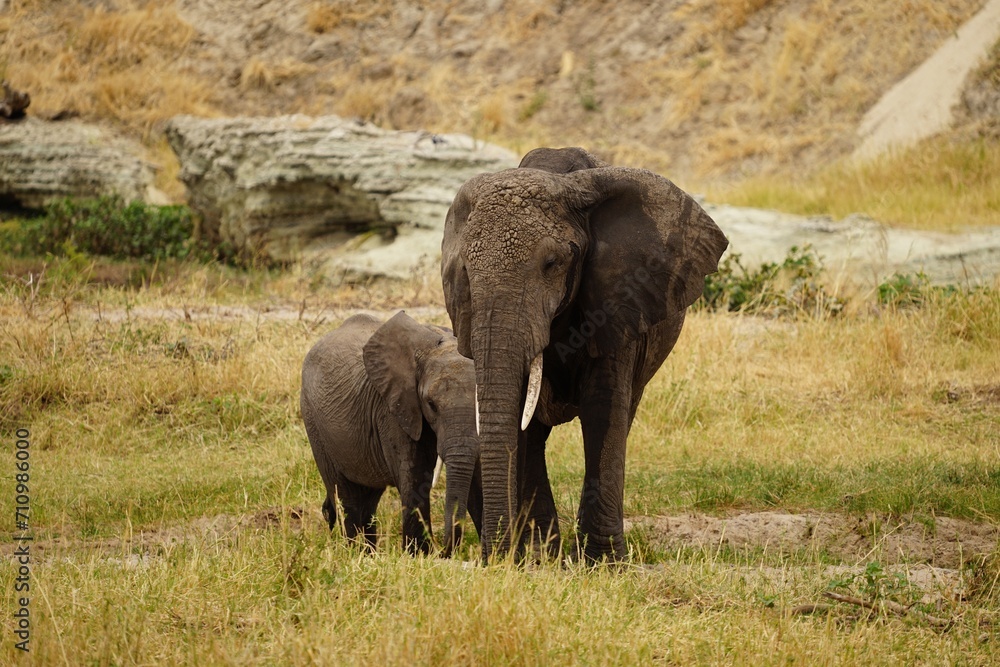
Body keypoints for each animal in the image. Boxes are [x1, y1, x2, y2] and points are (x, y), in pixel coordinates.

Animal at [300, 311, 482, 556]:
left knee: (367, 500)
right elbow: (414, 477)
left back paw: (369, 553)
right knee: (346, 497)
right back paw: (357, 554)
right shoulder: (392, 410)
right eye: (431, 404)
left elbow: (475, 478)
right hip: (314, 424)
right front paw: (418, 556)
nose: (445, 552)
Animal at [441, 147, 729, 562]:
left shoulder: (618, 300)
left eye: (552, 264)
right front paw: (538, 561)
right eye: (465, 270)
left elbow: (602, 408)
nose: (493, 557)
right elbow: (520, 419)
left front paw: (604, 564)